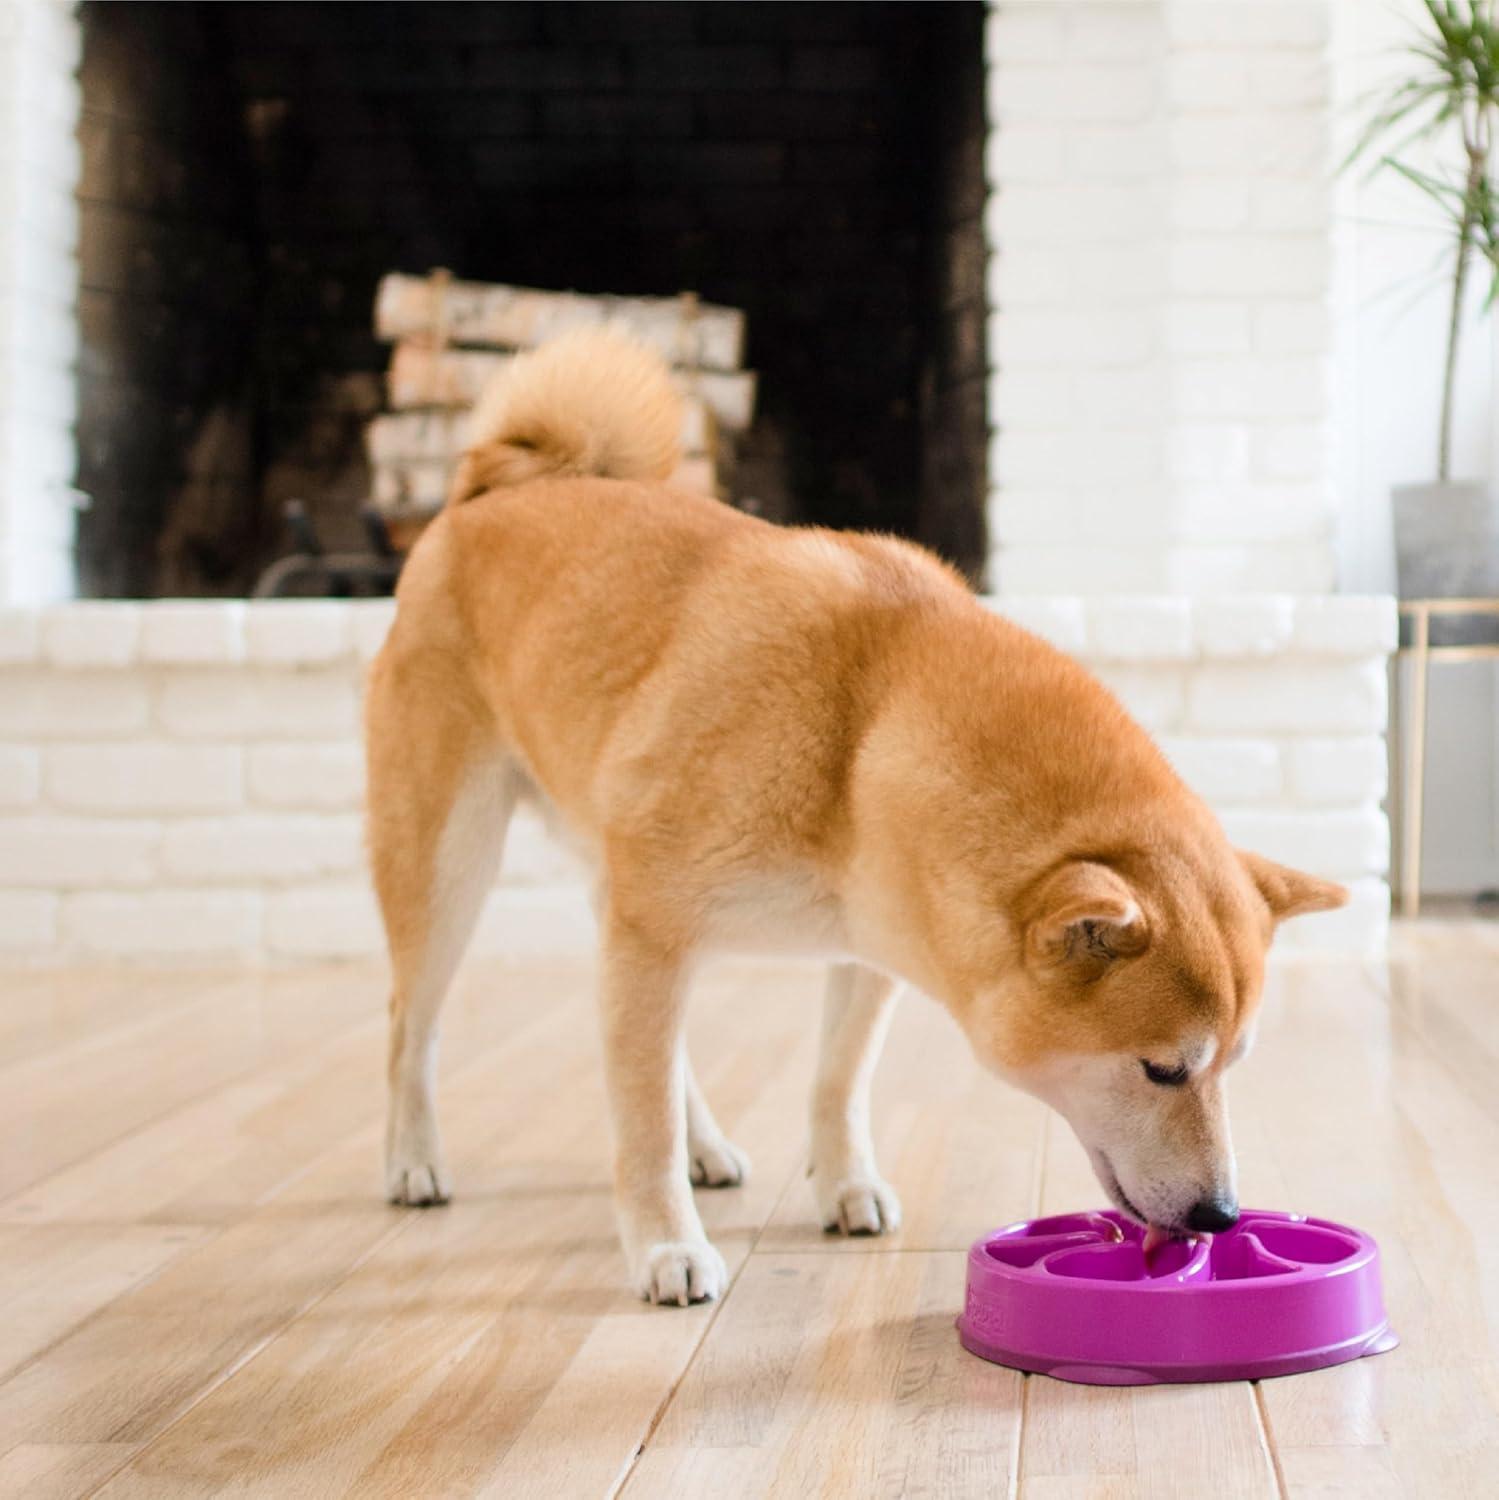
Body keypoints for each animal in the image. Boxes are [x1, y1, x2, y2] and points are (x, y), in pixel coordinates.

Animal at [366, 328, 1350, 1302]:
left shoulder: (864, 945)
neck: (862, 732)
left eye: (1233, 1063)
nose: (1222, 1216)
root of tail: (490, 492)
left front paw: (842, 1184)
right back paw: (412, 1160)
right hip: (453, 865)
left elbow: (833, 1082)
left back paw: (706, 1147)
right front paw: (663, 1244)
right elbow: (640, 1122)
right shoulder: (655, 933)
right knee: (412, 1025)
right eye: (1162, 1069)